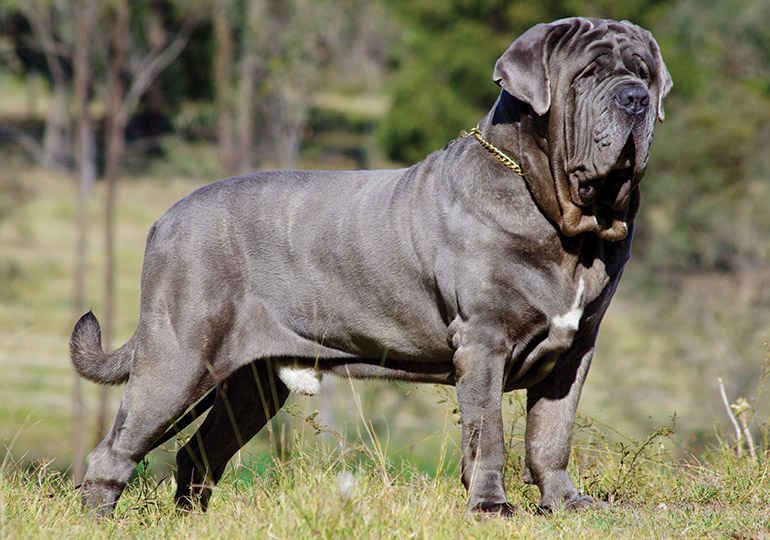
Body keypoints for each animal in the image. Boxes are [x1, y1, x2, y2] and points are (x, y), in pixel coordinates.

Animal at [73, 15, 672, 516]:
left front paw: (567, 503)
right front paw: (490, 507)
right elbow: (490, 434)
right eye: (588, 74)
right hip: (179, 359)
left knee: (197, 453)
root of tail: (166, 219)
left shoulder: (575, 348)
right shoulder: (484, 341)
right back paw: (99, 516)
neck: (564, 223)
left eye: (644, 72)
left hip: (250, 384)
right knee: (116, 448)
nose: (636, 98)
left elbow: (552, 433)